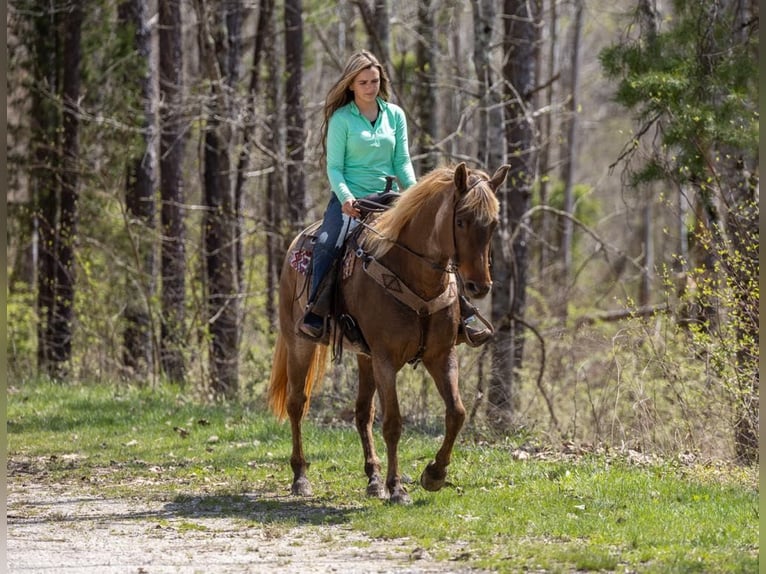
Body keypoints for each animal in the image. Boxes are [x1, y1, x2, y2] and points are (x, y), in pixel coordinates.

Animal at [268, 162, 510, 504]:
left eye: (492, 224)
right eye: (461, 220)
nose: (479, 286)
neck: (415, 275)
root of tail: (296, 244)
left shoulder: (441, 356)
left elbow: (457, 413)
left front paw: (434, 474)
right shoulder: (386, 359)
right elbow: (393, 423)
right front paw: (397, 488)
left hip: (364, 356)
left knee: (362, 413)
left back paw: (373, 478)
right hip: (300, 342)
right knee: (297, 403)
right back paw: (301, 477)